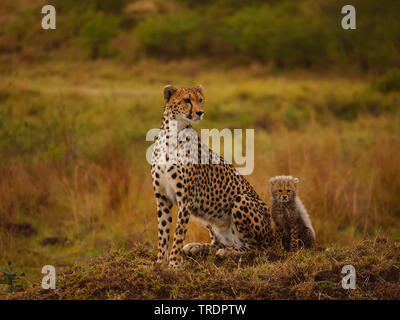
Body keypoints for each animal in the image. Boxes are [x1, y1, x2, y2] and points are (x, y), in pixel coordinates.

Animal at [150, 84, 276, 268]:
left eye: (201, 100)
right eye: (187, 100)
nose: (200, 112)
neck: (171, 135)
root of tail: (273, 234)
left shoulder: (185, 200)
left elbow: (178, 234)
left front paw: (173, 264)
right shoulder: (162, 198)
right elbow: (163, 233)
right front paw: (160, 263)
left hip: (242, 199)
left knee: (256, 248)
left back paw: (229, 252)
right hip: (209, 215)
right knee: (219, 243)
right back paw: (197, 247)